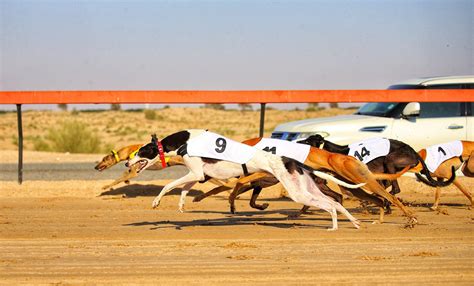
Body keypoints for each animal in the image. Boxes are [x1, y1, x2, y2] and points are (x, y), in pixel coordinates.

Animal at [126, 130, 362, 230]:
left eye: (140, 152)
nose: (127, 163)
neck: (185, 140)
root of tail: (292, 160)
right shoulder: (197, 174)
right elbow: (184, 189)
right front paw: (182, 205)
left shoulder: (196, 173)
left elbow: (168, 185)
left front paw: (156, 202)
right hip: (306, 188)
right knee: (334, 202)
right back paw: (354, 223)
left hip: (298, 192)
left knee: (330, 205)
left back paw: (334, 227)